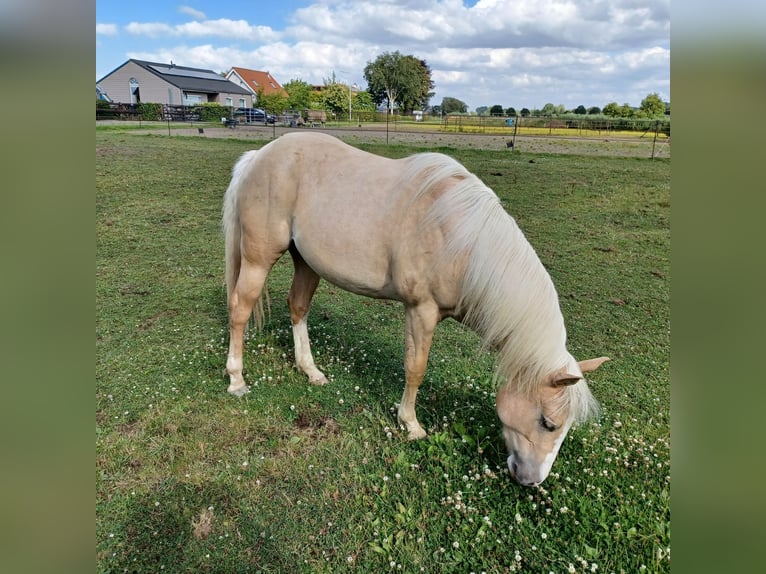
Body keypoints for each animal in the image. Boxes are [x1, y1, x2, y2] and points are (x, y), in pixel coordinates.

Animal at [220, 133, 608, 488]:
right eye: (548, 422)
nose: (531, 481)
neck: (462, 240)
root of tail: (259, 156)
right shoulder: (421, 311)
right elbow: (415, 368)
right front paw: (411, 425)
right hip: (258, 259)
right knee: (240, 310)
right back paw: (237, 380)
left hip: (306, 262)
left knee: (298, 307)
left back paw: (311, 371)